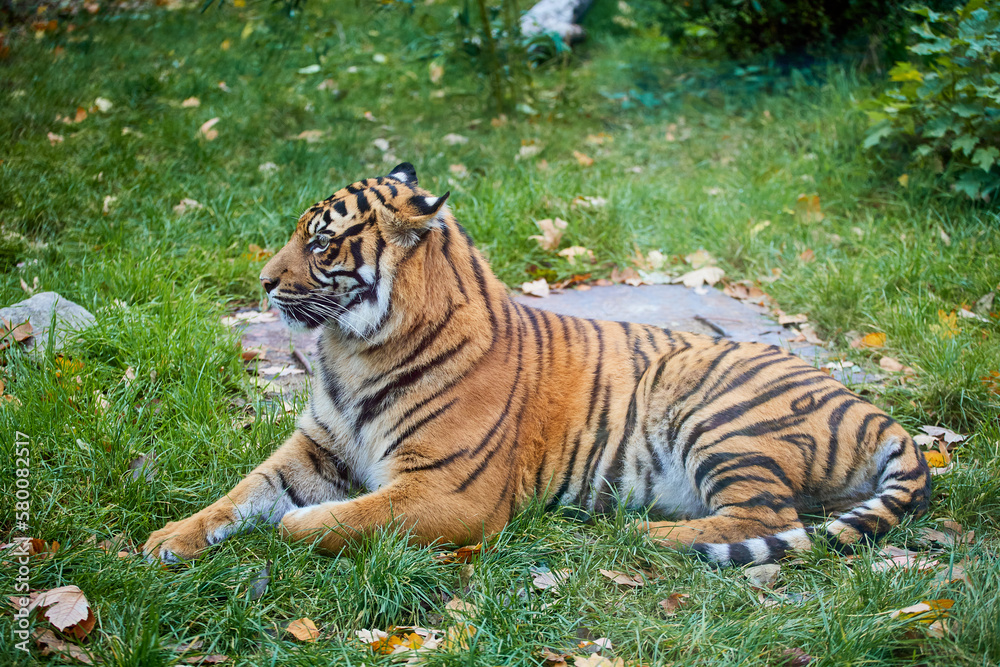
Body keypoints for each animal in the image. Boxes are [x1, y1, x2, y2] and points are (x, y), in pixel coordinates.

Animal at [143, 162, 931, 567]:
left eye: (321, 243)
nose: (263, 283)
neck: (352, 349)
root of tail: (876, 411)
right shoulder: (314, 450)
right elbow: (240, 494)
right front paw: (166, 540)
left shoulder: (449, 492)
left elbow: (325, 520)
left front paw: (297, 526)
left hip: (709, 408)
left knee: (763, 514)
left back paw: (646, 534)